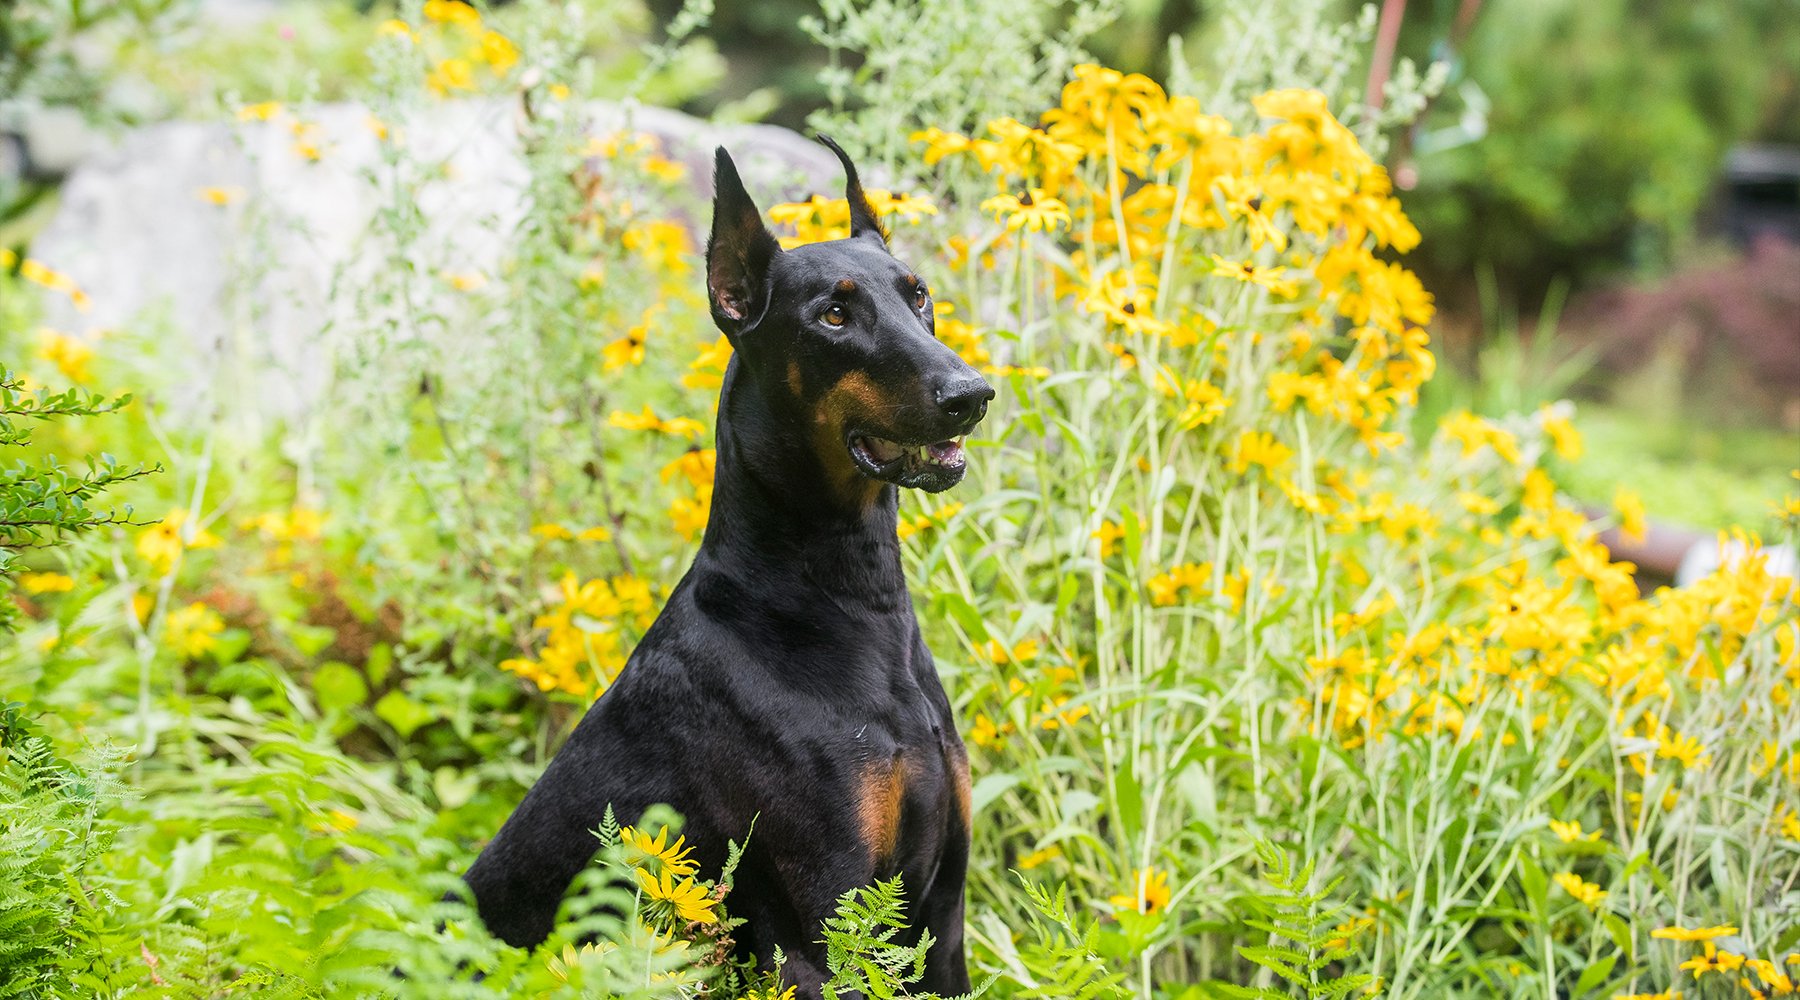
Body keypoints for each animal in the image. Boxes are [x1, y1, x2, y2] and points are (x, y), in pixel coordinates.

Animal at [464, 136, 993, 992]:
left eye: (919, 296)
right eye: (834, 314)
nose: (972, 393)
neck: (853, 599)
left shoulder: (944, 920)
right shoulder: (826, 927)